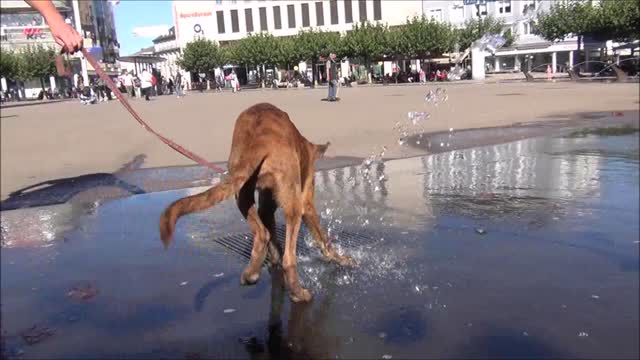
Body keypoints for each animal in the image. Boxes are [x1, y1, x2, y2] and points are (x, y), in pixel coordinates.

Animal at [158, 102, 352, 302]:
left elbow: (273, 235)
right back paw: (298, 292)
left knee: (262, 233)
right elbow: (324, 239)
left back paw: (252, 273)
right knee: (289, 258)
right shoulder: (306, 204)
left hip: (242, 191)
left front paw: (273, 259)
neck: (303, 146)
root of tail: (260, 141)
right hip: (293, 206)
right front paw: (341, 259)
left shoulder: (266, 204)